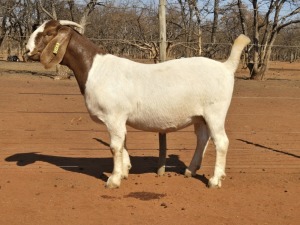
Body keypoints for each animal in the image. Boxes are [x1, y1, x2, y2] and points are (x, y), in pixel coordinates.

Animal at [25, 19, 251, 188]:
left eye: (48, 33)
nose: (27, 51)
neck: (96, 69)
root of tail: (226, 67)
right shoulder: (119, 119)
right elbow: (123, 143)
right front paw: (125, 171)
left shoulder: (113, 116)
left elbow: (114, 146)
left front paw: (113, 180)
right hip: (200, 116)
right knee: (203, 138)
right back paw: (190, 170)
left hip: (215, 112)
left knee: (221, 141)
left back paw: (214, 180)